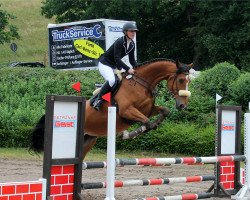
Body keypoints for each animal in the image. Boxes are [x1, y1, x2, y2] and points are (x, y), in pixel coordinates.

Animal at [30, 58, 192, 159]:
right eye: (180, 80)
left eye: (188, 80)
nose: (182, 105)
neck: (141, 84)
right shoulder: (127, 111)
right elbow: (146, 122)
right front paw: (129, 134)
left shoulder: (148, 109)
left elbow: (164, 111)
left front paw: (155, 124)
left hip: (89, 138)